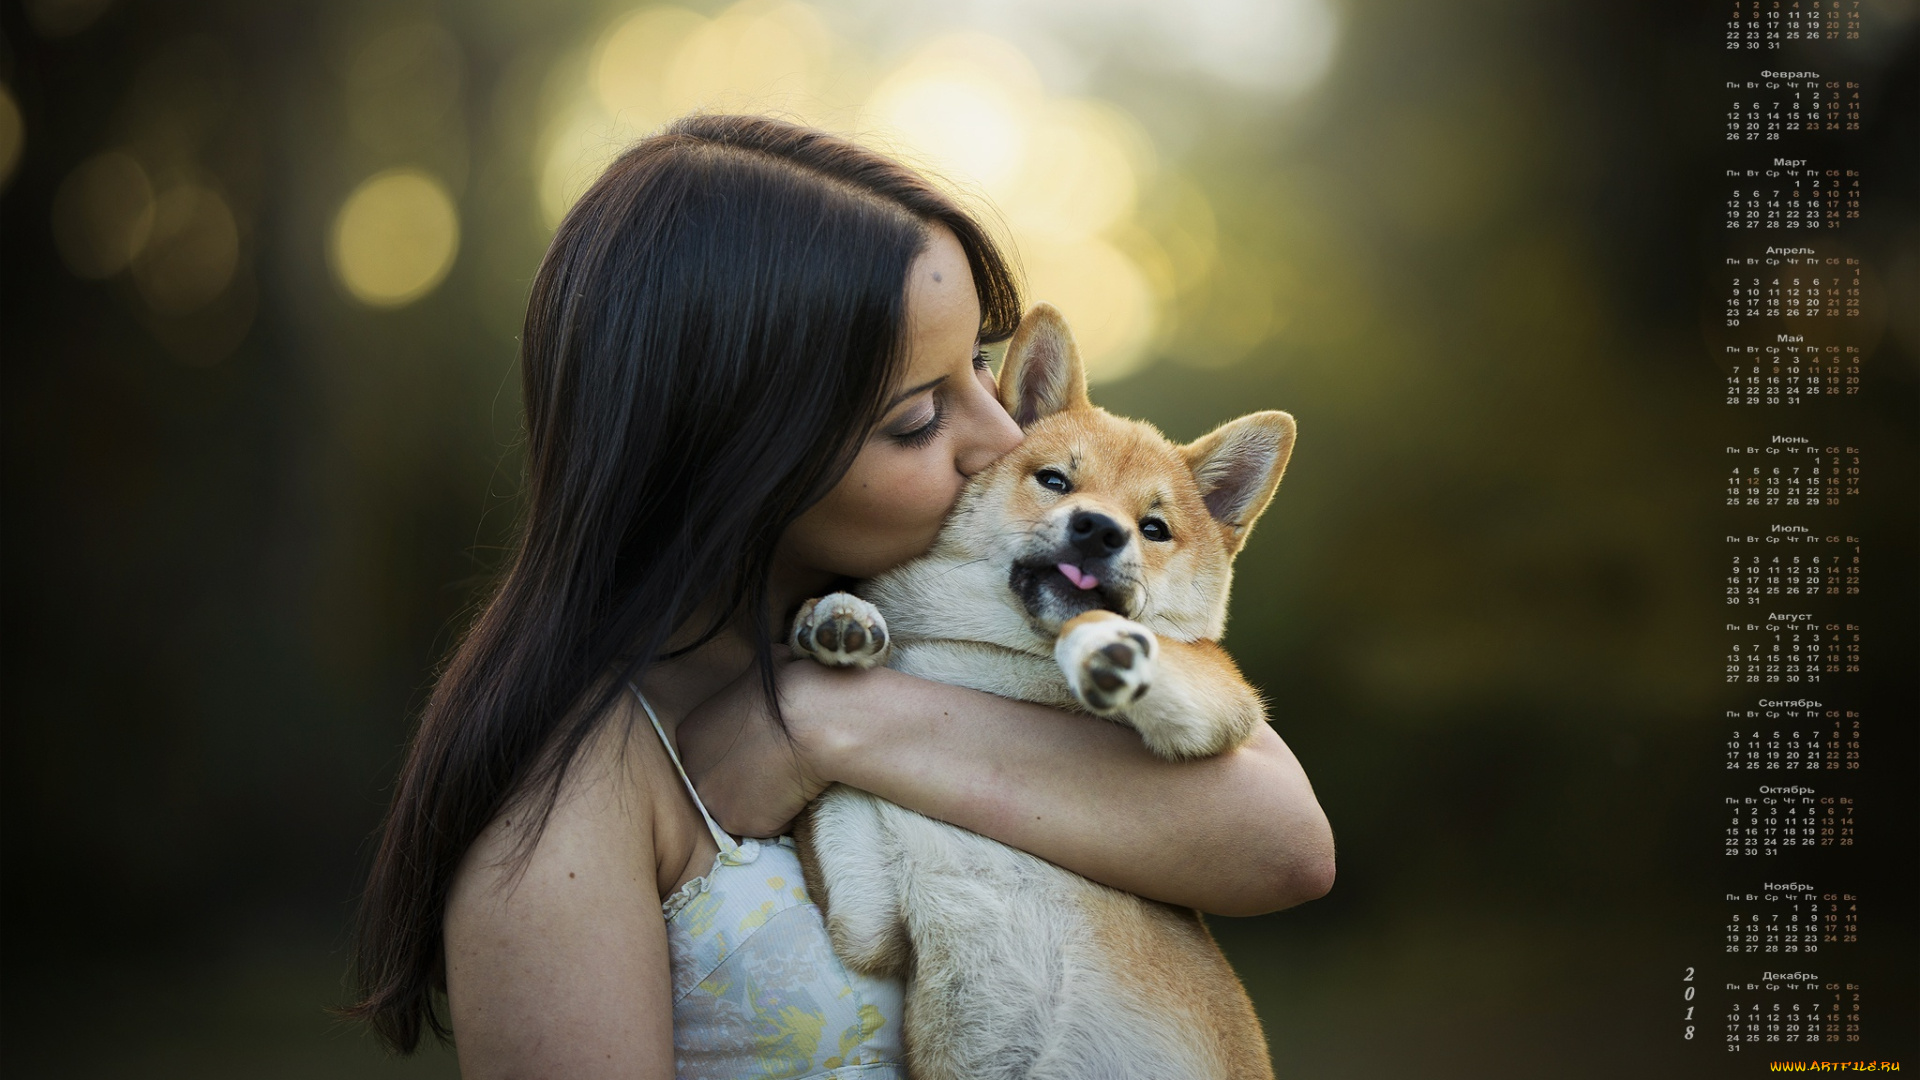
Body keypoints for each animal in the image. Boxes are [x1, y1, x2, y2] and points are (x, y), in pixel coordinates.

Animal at [787, 299, 1297, 1076]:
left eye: (1155, 528)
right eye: (1056, 480)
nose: (1099, 530)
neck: (994, 659)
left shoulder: (1220, 702)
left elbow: (1120, 640)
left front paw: (1107, 648)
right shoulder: (865, 922)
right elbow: (837, 798)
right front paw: (835, 615)